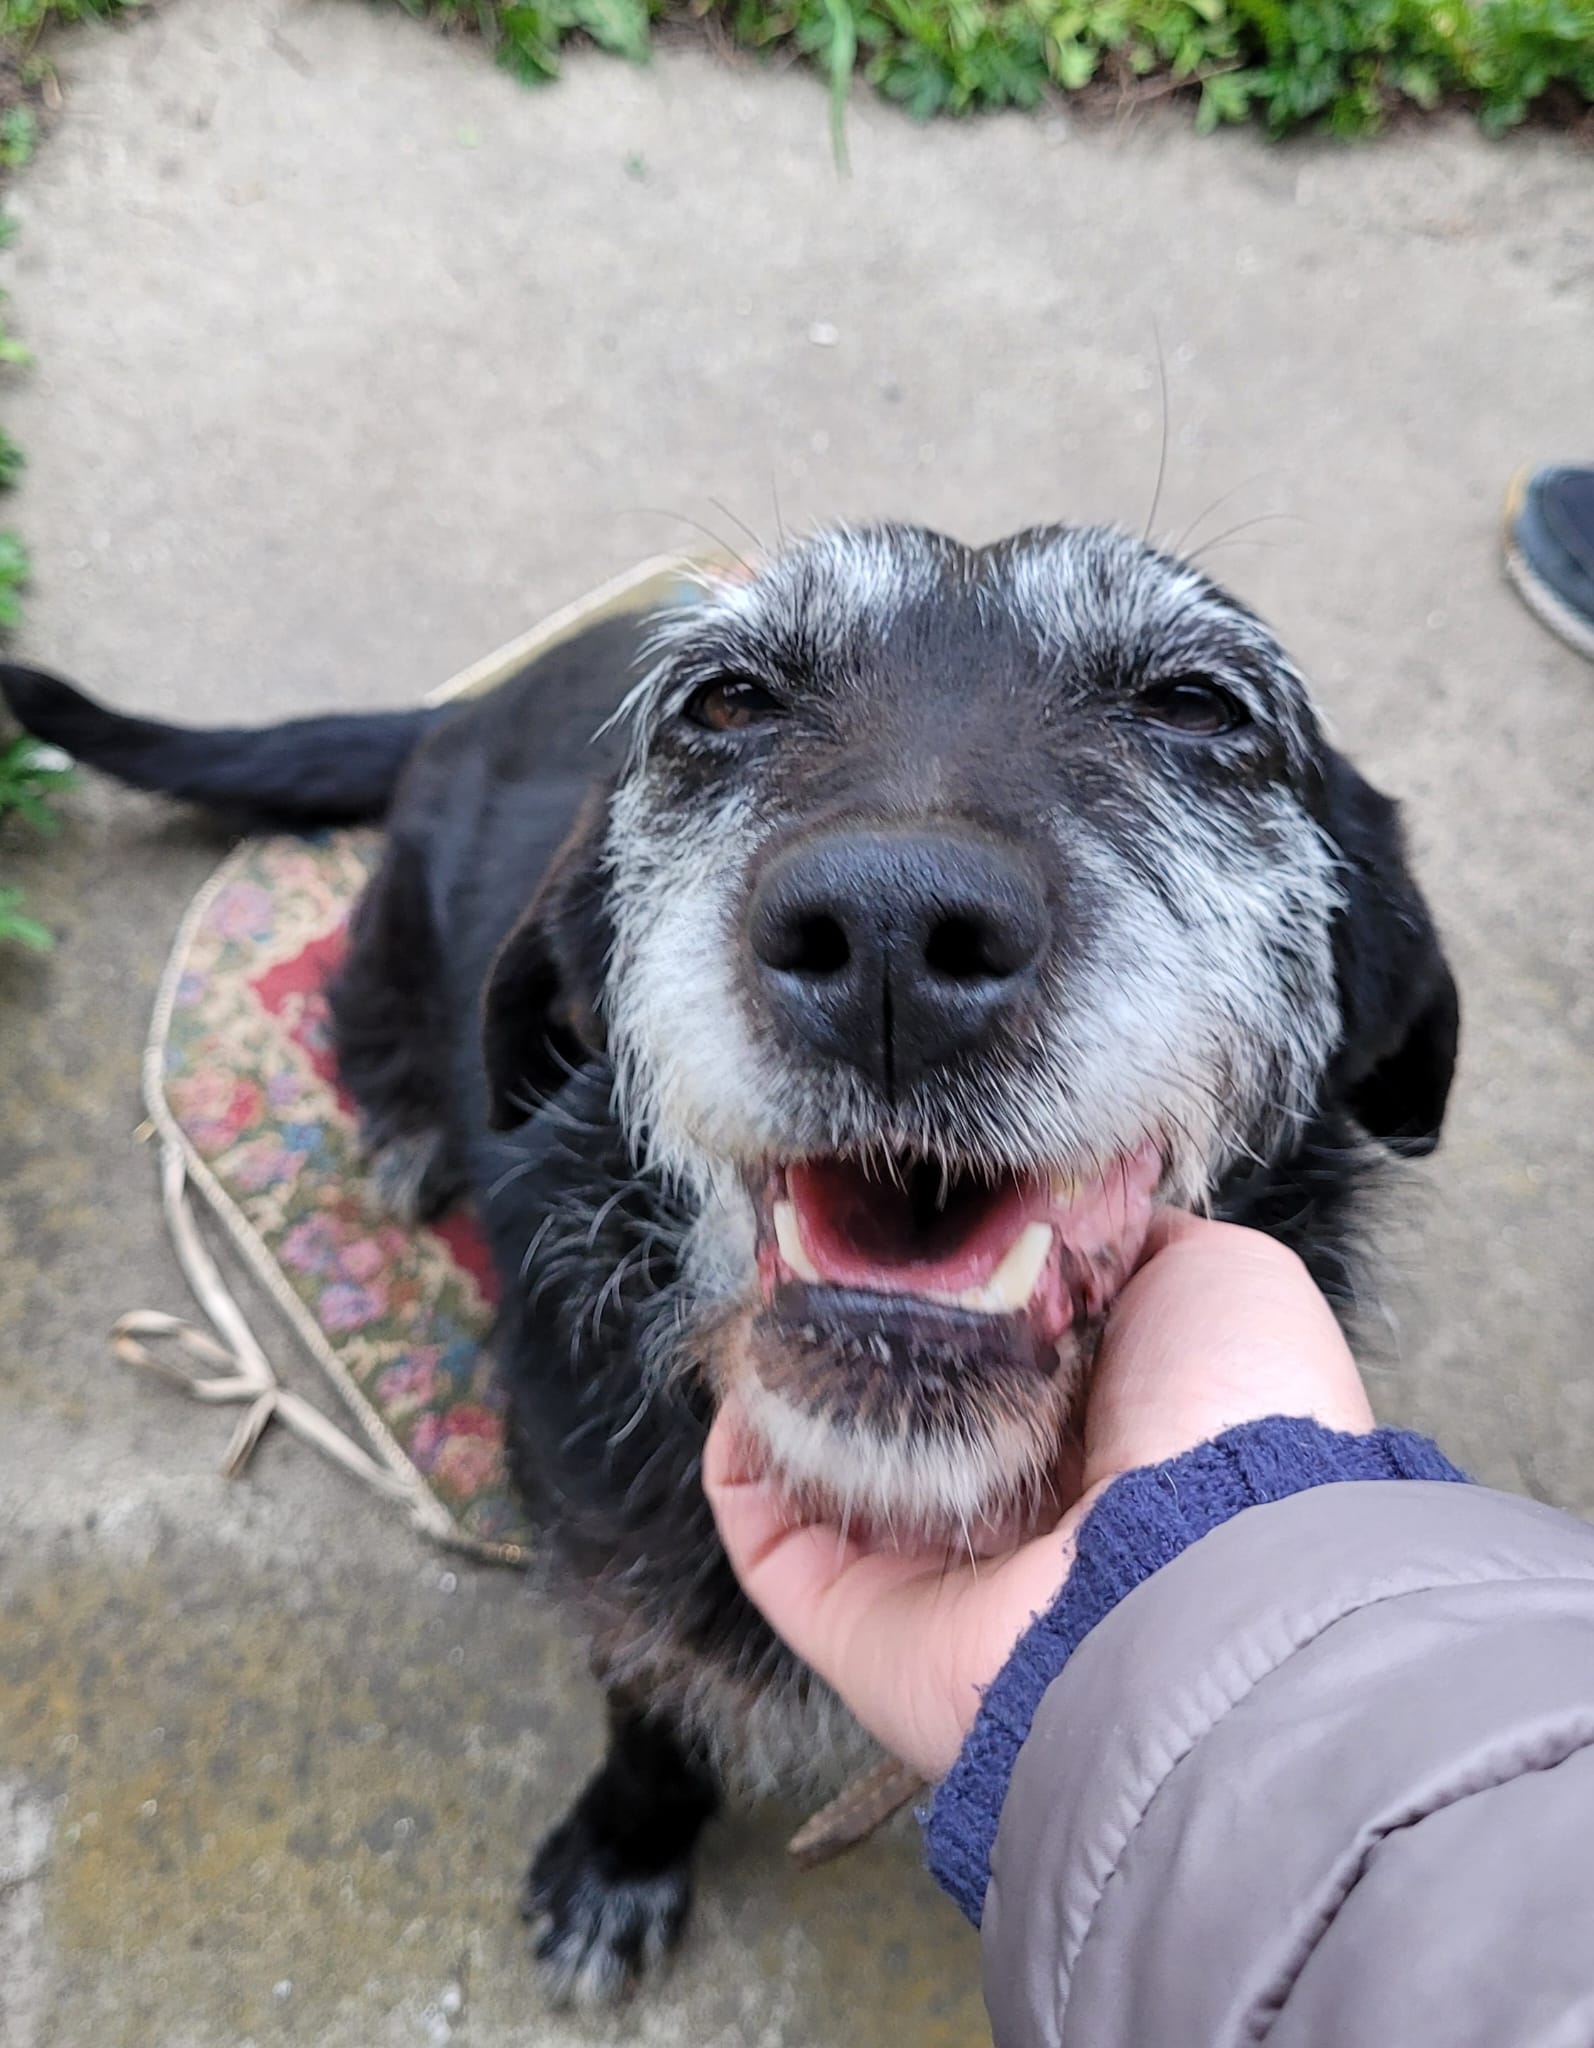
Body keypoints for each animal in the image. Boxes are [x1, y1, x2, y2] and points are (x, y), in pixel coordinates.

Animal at [1, 520, 1459, 2002]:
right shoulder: (612, 1567)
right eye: (724, 701)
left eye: (1198, 706)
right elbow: (650, 1711)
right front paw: (626, 1845)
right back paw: (409, 1126)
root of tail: (482, 697)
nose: (888, 933)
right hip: (396, 906)